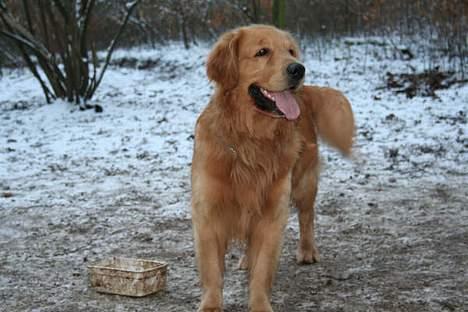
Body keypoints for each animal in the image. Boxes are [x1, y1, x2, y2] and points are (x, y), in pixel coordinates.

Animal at [190, 25, 354, 312]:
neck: (250, 141)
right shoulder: (208, 213)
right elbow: (211, 270)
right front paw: (211, 305)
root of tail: (305, 93)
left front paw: (260, 304)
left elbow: (263, 269)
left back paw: (307, 250)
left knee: (307, 215)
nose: (298, 69)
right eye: (262, 52)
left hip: (303, 182)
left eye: (291, 51)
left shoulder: (272, 214)